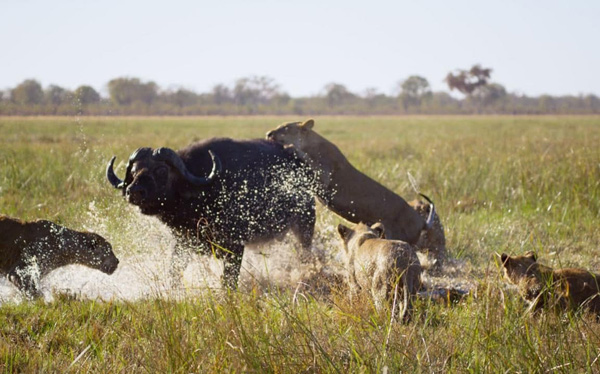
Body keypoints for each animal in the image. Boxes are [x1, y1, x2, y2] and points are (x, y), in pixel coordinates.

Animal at [106, 137, 316, 290]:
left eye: (161, 170)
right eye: (134, 170)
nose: (133, 191)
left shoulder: (235, 247)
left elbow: (229, 280)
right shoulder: (183, 242)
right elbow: (174, 271)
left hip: (304, 226)